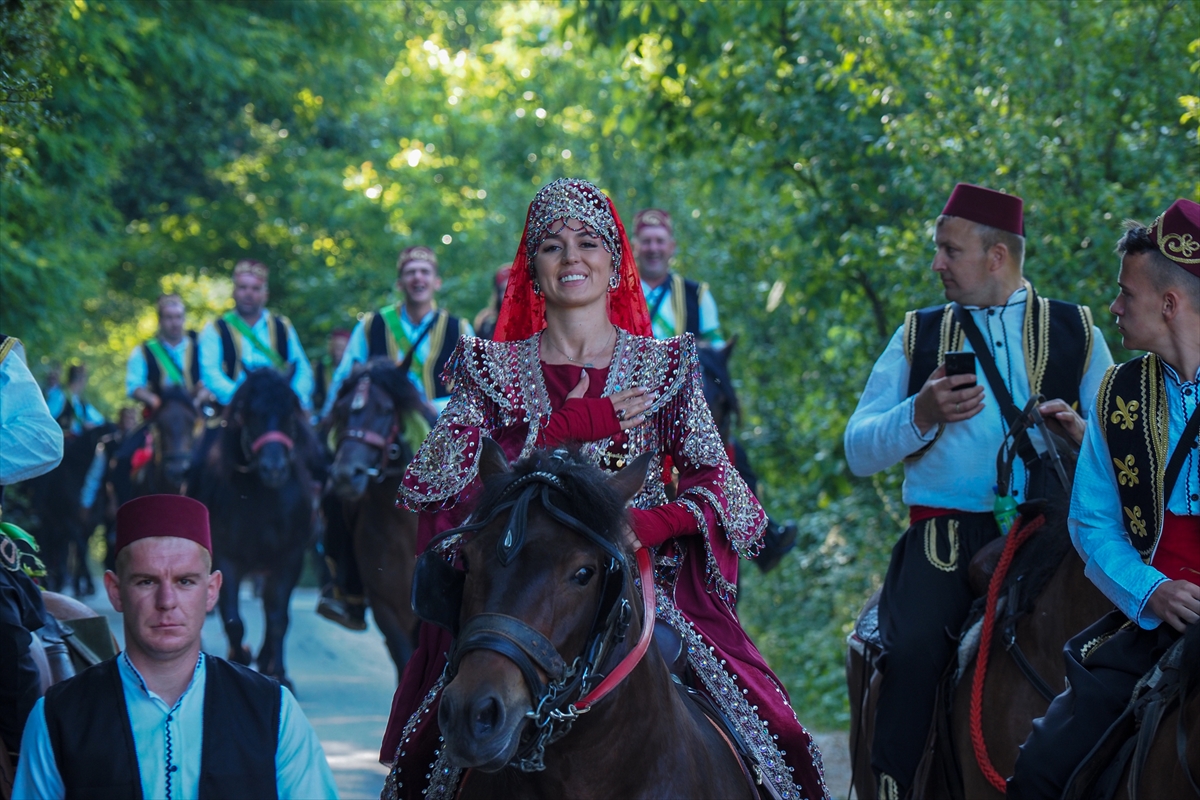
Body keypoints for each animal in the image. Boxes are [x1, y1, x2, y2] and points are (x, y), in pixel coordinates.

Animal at [187, 369, 319, 690]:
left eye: (289, 414)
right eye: (250, 413)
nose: (274, 469)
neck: (261, 501)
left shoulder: (289, 559)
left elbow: (279, 618)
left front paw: (280, 673)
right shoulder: (225, 558)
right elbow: (233, 619)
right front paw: (240, 656)